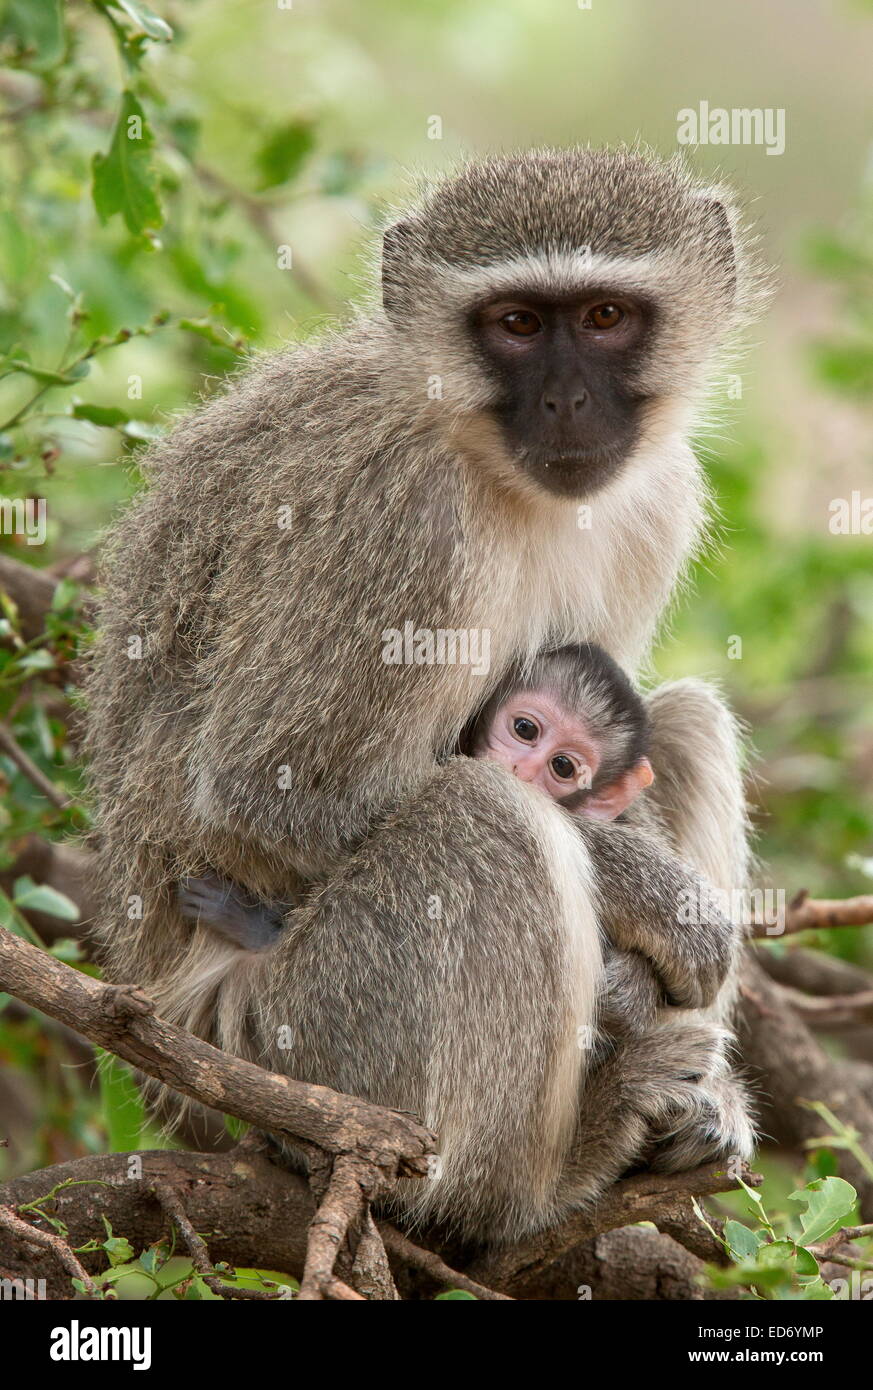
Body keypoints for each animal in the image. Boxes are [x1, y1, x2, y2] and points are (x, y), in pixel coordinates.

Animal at [86, 147, 762, 1244]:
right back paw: (540, 1181)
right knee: (478, 817)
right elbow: (272, 791)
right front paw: (661, 919)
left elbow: (625, 729)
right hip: (299, 1040)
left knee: (686, 721)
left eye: (606, 317)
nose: (567, 403)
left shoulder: (655, 500)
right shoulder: (398, 519)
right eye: (517, 324)